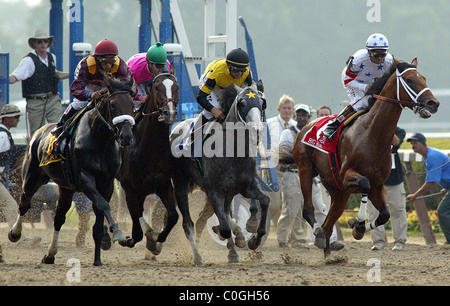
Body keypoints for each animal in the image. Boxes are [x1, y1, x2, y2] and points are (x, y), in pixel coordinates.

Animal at [8, 76, 135, 266]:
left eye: (132, 104)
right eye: (113, 104)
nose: (127, 137)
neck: (100, 141)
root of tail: (39, 132)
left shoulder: (106, 183)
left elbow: (100, 216)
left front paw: (98, 259)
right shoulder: (85, 179)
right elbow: (103, 205)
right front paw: (118, 234)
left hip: (66, 188)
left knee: (59, 217)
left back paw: (50, 254)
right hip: (32, 178)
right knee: (24, 203)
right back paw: (15, 233)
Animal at [116, 68, 179, 256]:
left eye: (177, 87)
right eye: (156, 87)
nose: (169, 113)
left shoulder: (163, 185)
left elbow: (173, 216)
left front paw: (156, 240)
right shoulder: (130, 188)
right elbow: (136, 228)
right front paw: (130, 239)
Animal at [294, 58, 438, 256]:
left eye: (423, 78)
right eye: (409, 80)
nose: (433, 103)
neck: (372, 135)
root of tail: (306, 126)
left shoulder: (377, 184)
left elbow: (385, 215)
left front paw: (357, 226)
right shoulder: (347, 176)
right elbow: (364, 183)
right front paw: (358, 223)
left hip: (338, 191)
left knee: (329, 223)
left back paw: (328, 252)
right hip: (306, 169)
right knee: (308, 210)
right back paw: (317, 232)